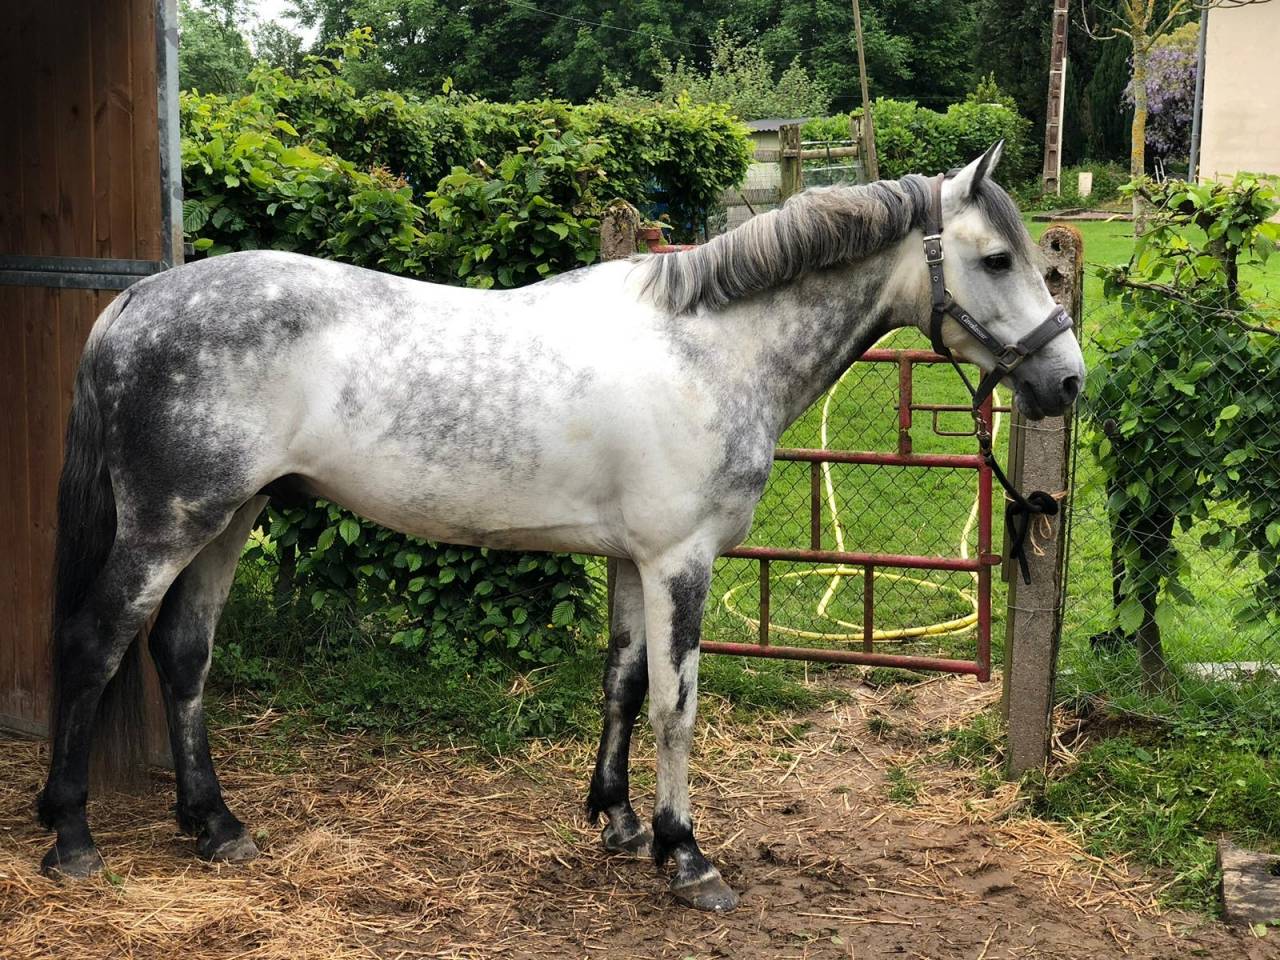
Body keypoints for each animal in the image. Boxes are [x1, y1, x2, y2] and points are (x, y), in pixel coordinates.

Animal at [36, 142, 1083, 912]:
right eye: (997, 260)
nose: (1067, 381)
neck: (709, 348)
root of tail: (136, 300)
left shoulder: (631, 561)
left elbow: (622, 683)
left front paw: (617, 821)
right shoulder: (679, 562)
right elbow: (676, 705)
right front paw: (686, 855)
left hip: (227, 519)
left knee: (182, 655)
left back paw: (214, 826)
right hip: (169, 526)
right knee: (94, 644)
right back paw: (72, 836)